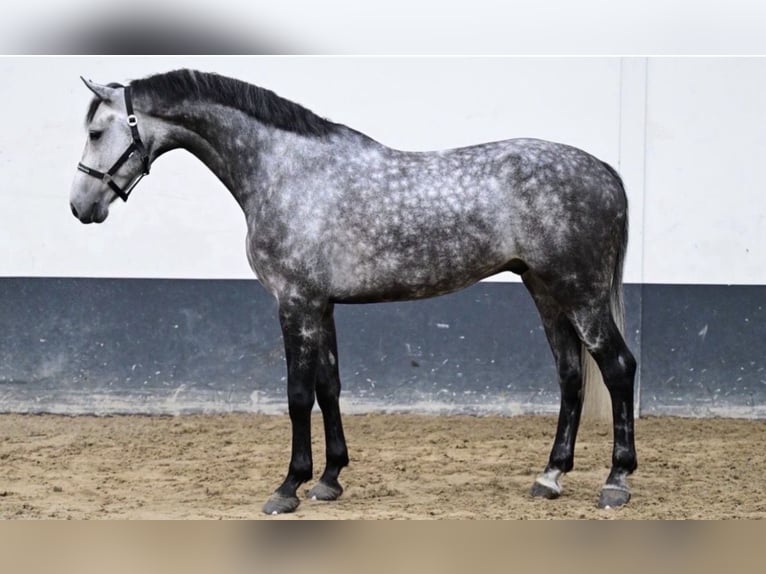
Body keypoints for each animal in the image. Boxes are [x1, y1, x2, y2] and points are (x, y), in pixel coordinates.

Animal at [70, 69, 637, 514]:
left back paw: (616, 482)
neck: (286, 172)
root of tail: (606, 172)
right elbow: (329, 388)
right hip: (546, 292)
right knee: (570, 375)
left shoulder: (295, 303)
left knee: (617, 367)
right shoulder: (321, 306)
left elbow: (298, 395)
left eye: (96, 131)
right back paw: (550, 476)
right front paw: (329, 479)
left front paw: (288, 487)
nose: (80, 206)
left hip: (580, 295)